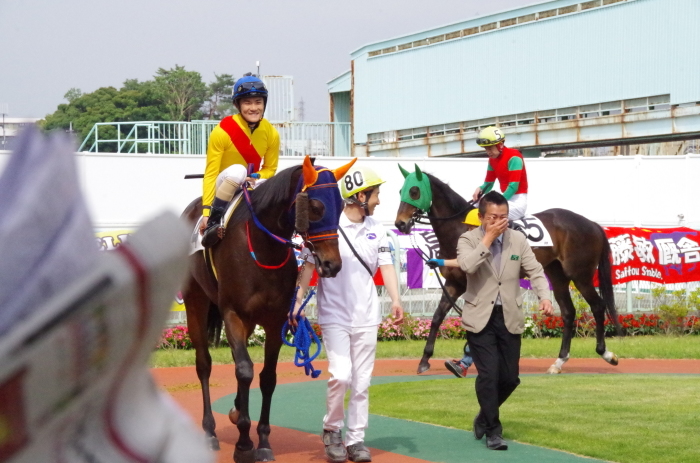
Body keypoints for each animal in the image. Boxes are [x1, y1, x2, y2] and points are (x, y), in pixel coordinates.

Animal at [182, 158, 356, 462]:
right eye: (315, 207)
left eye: (341, 206)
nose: (332, 265)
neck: (264, 248)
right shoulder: (233, 314)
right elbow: (244, 371)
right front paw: (243, 444)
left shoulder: (275, 321)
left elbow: (267, 378)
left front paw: (261, 440)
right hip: (195, 302)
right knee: (204, 364)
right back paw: (210, 432)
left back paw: (236, 409)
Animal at [396, 165, 620, 376]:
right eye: (401, 191)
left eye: (414, 191)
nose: (400, 223)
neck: (459, 228)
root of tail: (592, 224)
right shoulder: (454, 283)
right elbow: (437, 317)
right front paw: (425, 360)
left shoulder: (470, 286)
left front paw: (466, 359)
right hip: (557, 275)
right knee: (568, 312)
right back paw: (559, 361)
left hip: (580, 275)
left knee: (598, 306)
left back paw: (606, 353)